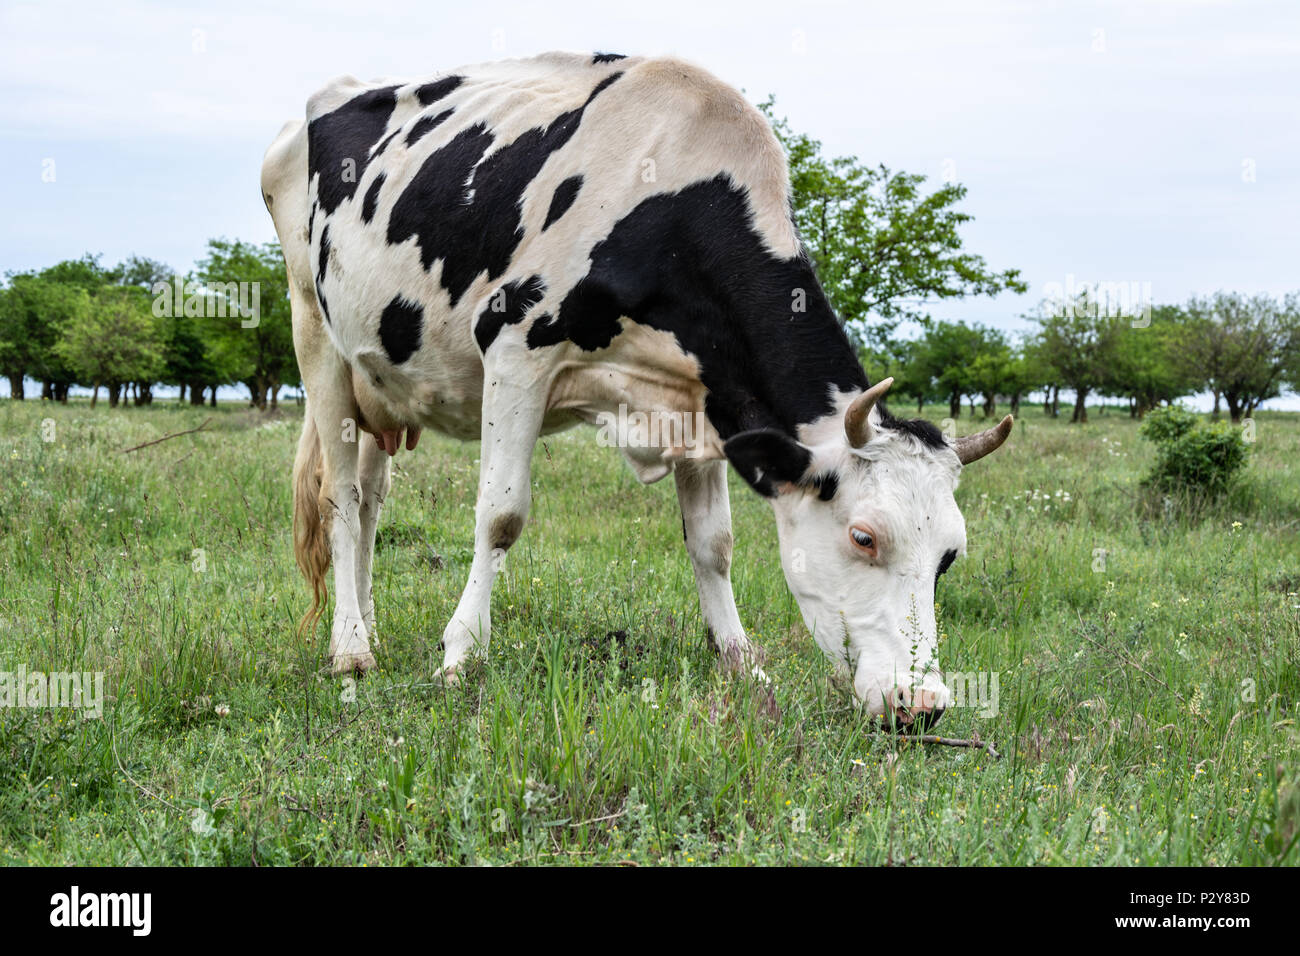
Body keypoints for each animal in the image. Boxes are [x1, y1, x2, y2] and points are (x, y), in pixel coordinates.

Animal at [261, 50, 1013, 723]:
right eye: (864, 537)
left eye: (950, 555)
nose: (922, 705)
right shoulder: (515, 344)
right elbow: (501, 515)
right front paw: (461, 653)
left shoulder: (701, 397)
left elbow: (713, 542)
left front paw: (740, 661)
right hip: (314, 331)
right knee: (340, 495)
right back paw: (351, 649)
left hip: (379, 380)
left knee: (371, 501)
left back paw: (367, 626)